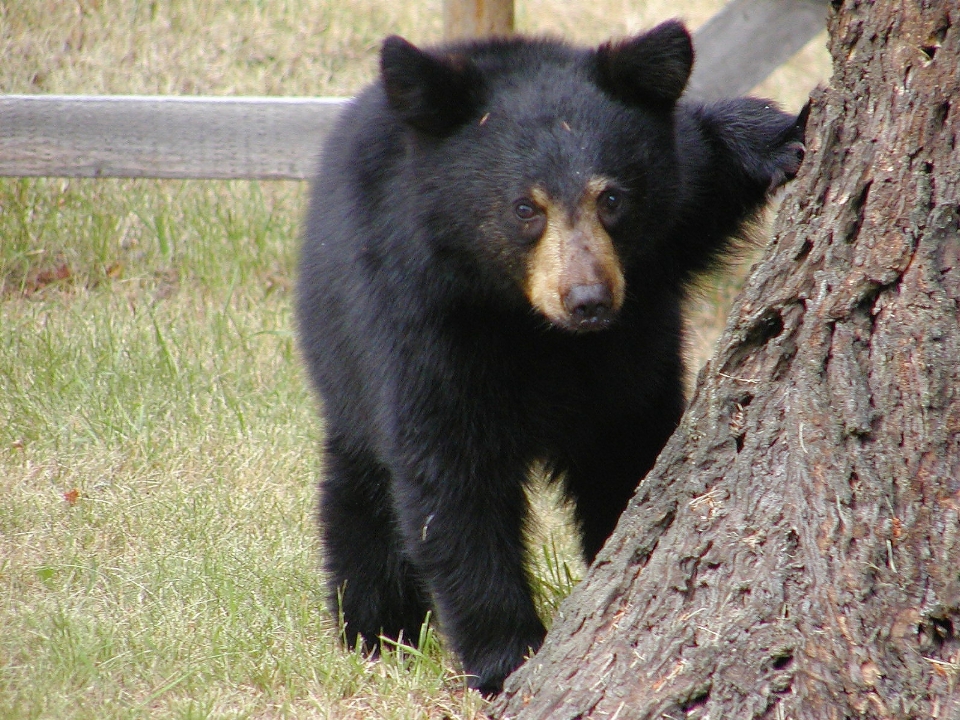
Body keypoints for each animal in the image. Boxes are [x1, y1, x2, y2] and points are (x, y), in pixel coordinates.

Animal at [296, 19, 808, 696]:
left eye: (611, 199)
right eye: (525, 208)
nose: (588, 300)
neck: (533, 326)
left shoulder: (656, 262)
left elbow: (698, 171)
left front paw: (778, 137)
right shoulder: (419, 320)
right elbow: (450, 482)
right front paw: (505, 656)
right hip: (341, 364)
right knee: (361, 496)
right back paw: (376, 628)